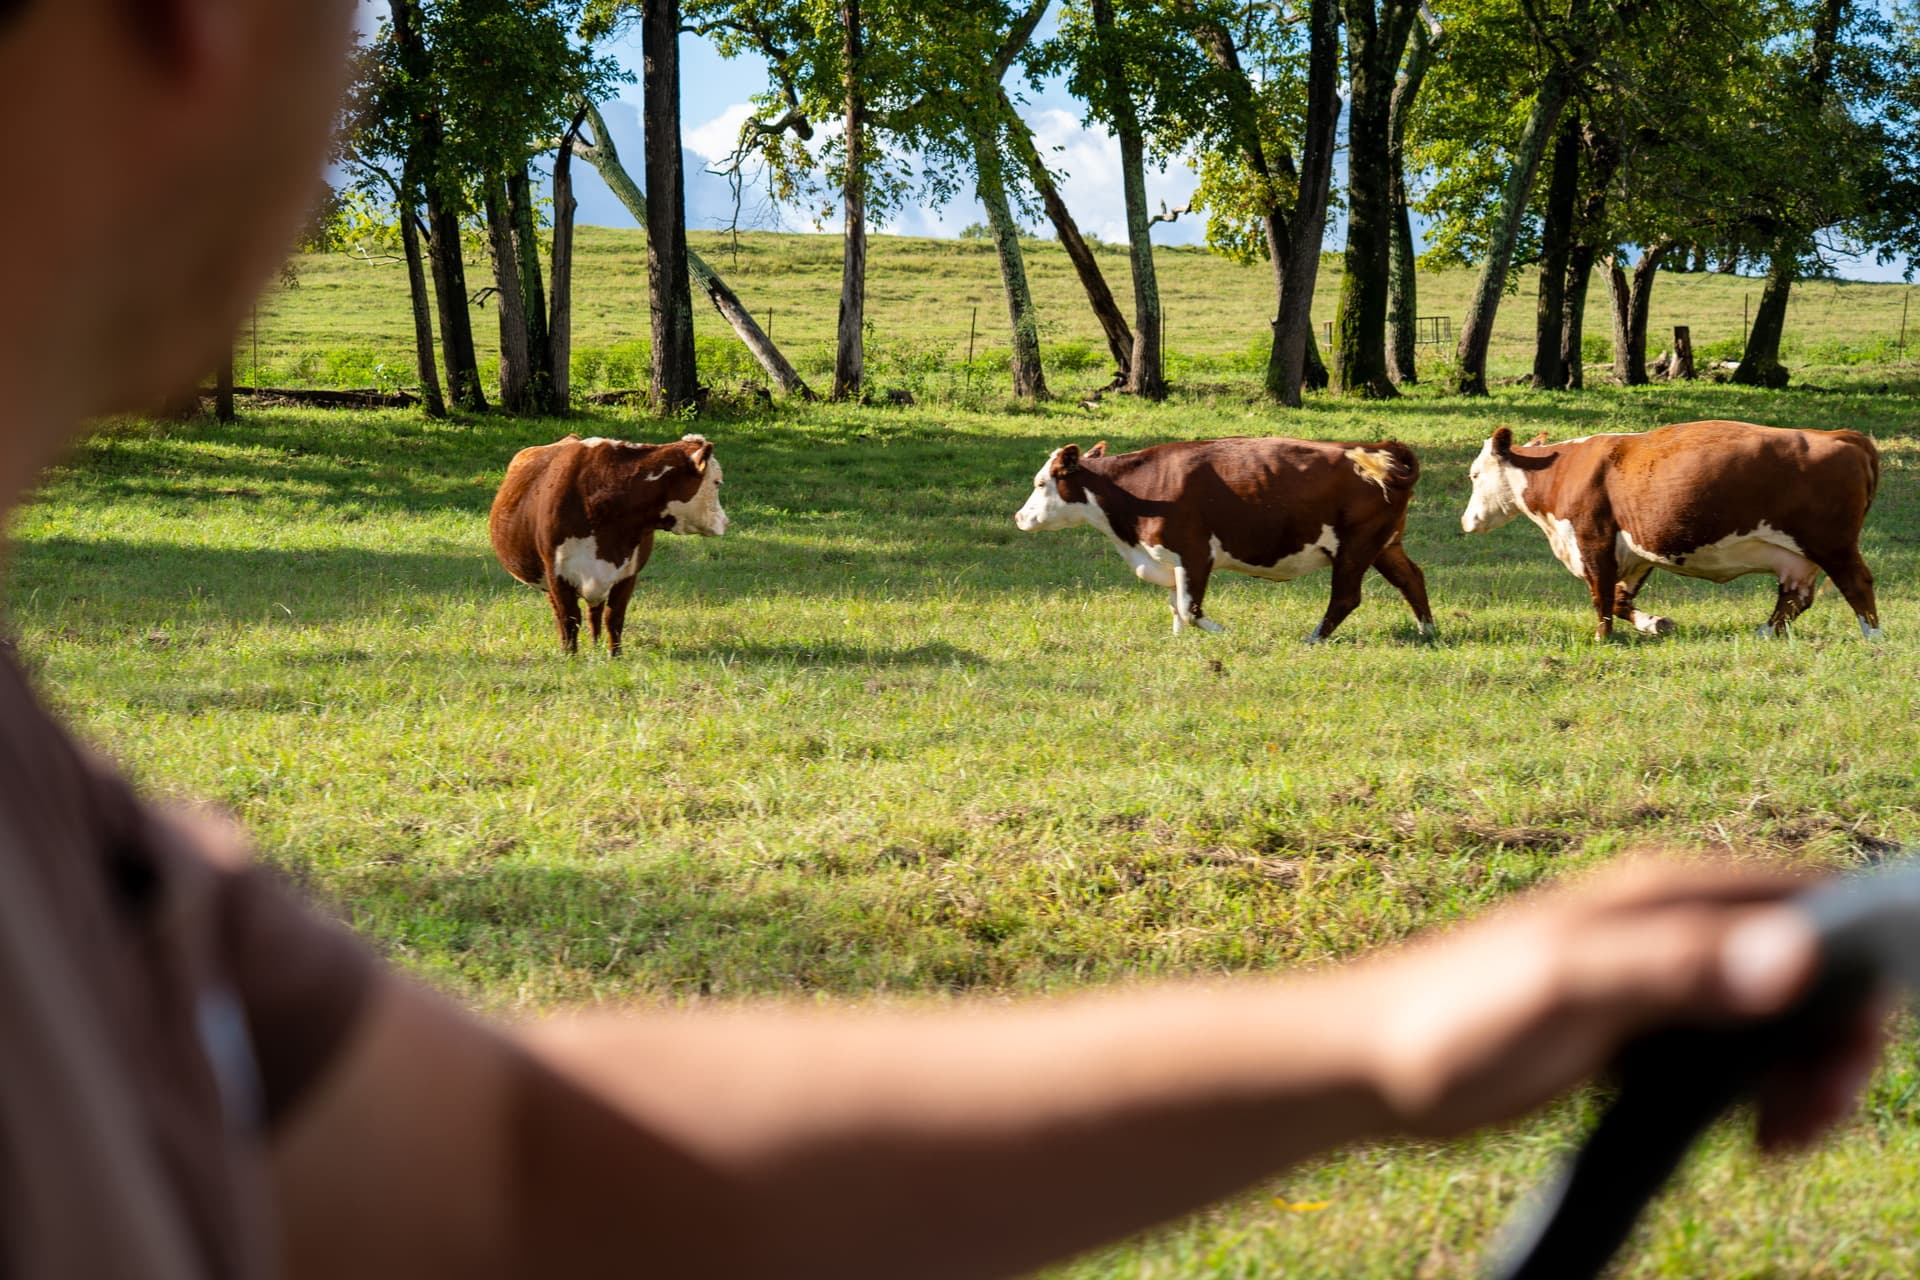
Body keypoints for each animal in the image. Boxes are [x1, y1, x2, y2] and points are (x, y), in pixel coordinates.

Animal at [489, 433, 727, 655]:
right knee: (561, 613)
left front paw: (615, 656)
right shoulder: (556, 572)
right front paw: (570, 657)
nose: (726, 522)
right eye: (717, 482)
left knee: (594, 612)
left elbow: (614, 618)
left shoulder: (628, 574)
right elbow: (569, 618)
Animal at [1013, 437, 1436, 643]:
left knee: (1346, 597)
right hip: (1384, 544)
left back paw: (1313, 639)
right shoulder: (1170, 561)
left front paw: (1223, 634)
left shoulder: (1194, 554)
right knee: (1411, 578)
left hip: (1356, 546)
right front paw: (1178, 642)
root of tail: (1378, 451)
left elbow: (1190, 608)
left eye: (1041, 483)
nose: (1019, 517)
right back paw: (1427, 631)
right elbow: (1176, 606)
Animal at [1460, 420, 1882, 641]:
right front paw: (1655, 623)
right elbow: (1619, 599)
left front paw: (1602, 638)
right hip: (1797, 557)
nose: (1465, 521)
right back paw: (1763, 633)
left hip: (1833, 544)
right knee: (1794, 598)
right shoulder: (1636, 549)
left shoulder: (1593, 541)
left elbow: (1601, 597)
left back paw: (1872, 638)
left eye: (1475, 475)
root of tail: (1841, 435)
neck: (1560, 470)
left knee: (1857, 584)